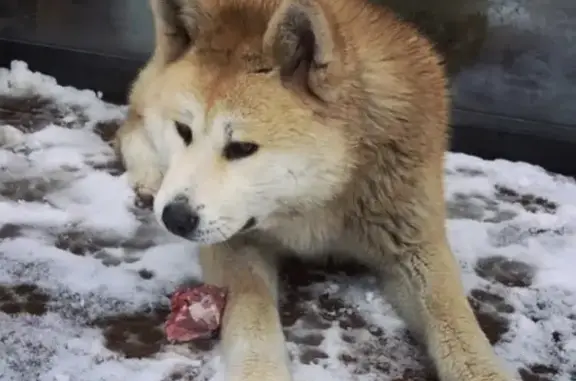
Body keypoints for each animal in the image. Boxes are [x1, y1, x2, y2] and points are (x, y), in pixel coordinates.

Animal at [115, 0, 516, 380]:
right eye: (183, 131)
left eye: (242, 148)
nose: (175, 218)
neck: (314, 201)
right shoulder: (233, 242)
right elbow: (251, 316)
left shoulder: (414, 242)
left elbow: (456, 323)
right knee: (130, 127)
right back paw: (149, 176)